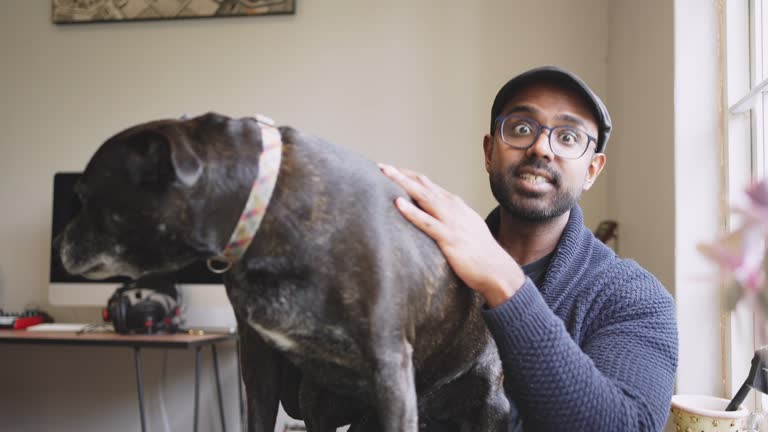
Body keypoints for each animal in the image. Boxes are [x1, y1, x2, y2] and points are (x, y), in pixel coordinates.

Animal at [60, 113, 510, 430]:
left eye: (83, 196)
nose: (59, 242)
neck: (268, 206)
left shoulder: (389, 370)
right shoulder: (259, 365)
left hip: (489, 405)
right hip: (324, 404)